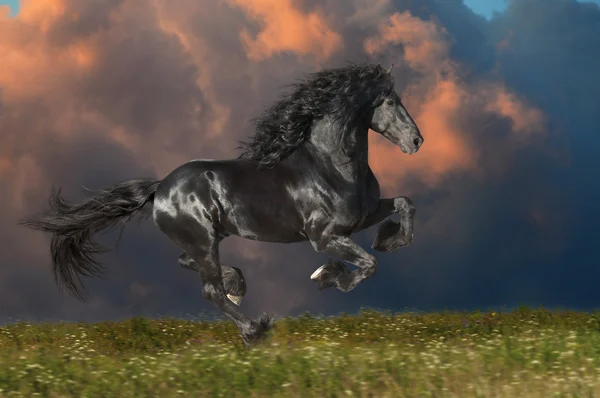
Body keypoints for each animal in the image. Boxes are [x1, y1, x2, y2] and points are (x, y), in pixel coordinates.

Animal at [22, 63, 422, 346]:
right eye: (389, 101)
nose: (417, 141)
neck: (330, 165)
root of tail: (160, 187)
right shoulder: (325, 236)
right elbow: (368, 265)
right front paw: (328, 276)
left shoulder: (361, 217)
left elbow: (404, 205)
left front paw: (389, 240)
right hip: (202, 240)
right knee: (209, 289)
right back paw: (254, 329)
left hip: (206, 240)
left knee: (193, 267)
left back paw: (238, 285)